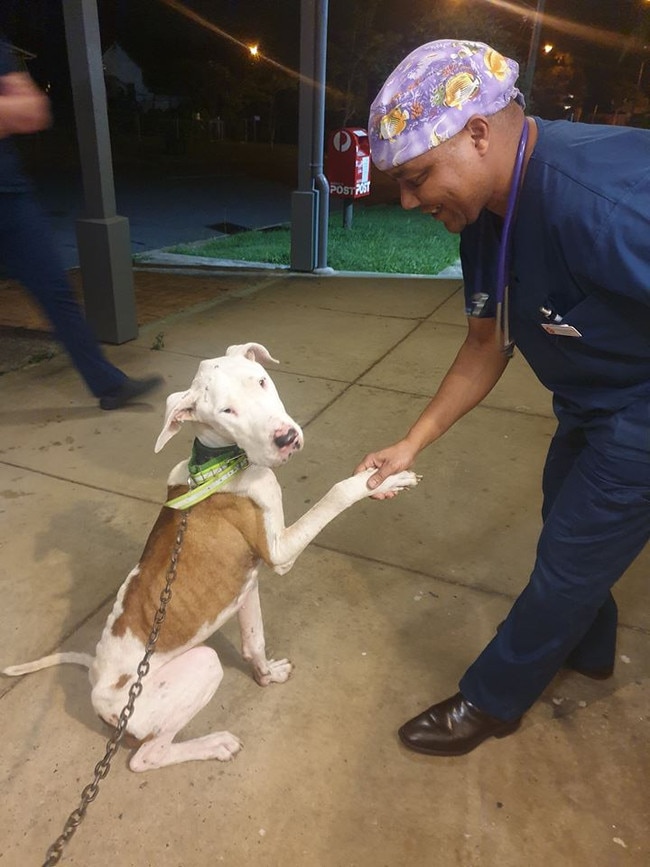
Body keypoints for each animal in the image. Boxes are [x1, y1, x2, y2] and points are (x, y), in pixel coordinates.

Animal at [2, 342, 418, 768]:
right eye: (226, 411)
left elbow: (254, 642)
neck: (221, 462)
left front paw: (266, 675)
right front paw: (384, 478)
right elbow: (338, 491)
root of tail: (96, 686)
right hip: (200, 666)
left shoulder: (246, 587)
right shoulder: (279, 552)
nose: (286, 438)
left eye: (262, 381)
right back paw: (214, 744)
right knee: (145, 756)